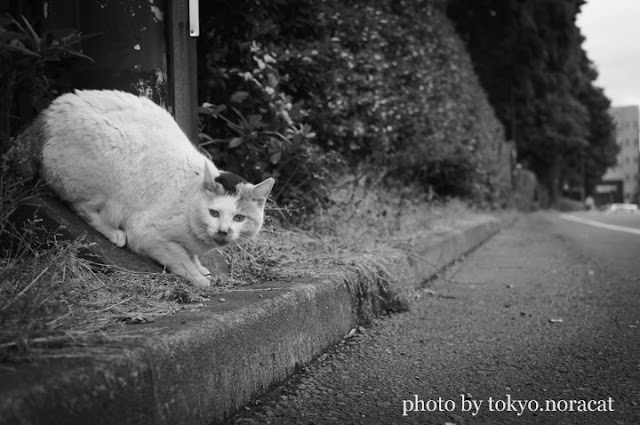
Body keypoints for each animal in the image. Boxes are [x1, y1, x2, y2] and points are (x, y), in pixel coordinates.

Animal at [11, 90, 274, 286]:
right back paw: (114, 233)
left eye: (239, 218)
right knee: (81, 207)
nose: (223, 231)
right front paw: (197, 276)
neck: (190, 199)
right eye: (214, 213)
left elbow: (191, 254)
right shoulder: (148, 234)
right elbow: (180, 258)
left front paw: (200, 266)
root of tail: (46, 116)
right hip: (106, 178)